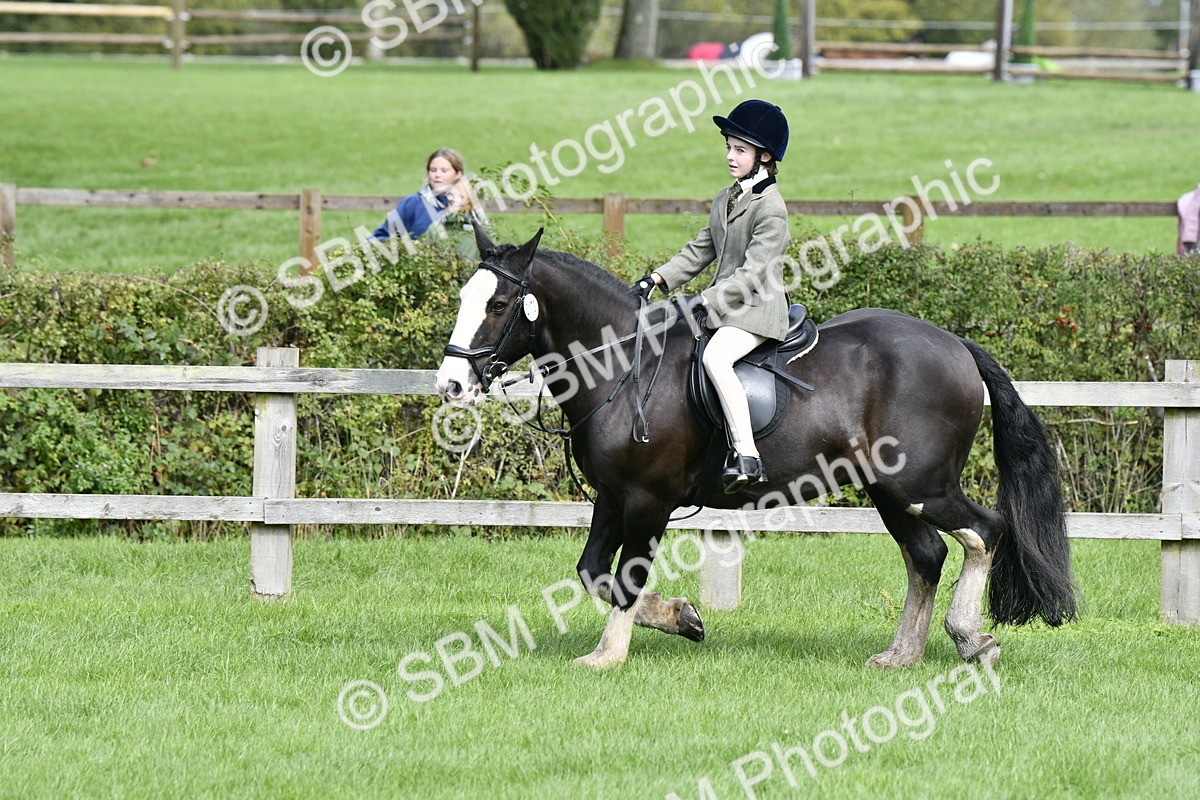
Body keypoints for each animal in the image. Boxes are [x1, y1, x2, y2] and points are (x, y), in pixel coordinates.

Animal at [435, 223, 1078, 669]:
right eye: (464, 299)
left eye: (497, 306)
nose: (451, 384)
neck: (625, 367)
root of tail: (956, 345)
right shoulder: (612, 498)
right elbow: (594, 571)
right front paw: (682, 617)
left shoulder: (646, 500)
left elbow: (625, 576)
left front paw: (608, 656)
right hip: (888, 490)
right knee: (926, 556)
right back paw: (902, 655)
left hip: (921, 485)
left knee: (985, 531)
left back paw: (971, 639)